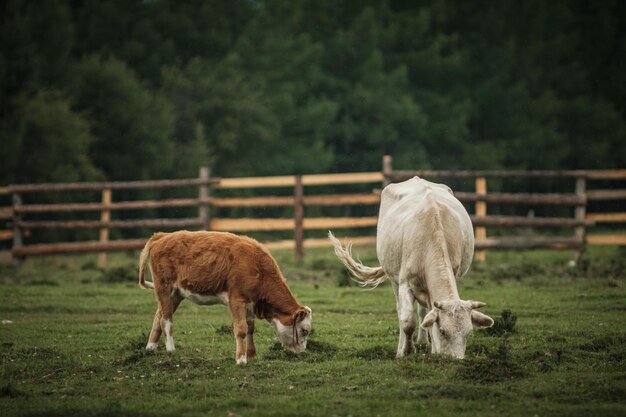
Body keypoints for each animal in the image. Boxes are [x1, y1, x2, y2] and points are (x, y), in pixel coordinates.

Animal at [138, 229, 310, 362]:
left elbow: (250, 329)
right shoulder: (237, 300)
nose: (302, 352)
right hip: (164, 289)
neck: (258, 267)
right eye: (304, 331)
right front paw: (241, 359)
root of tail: (161, 236)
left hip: (176, 294)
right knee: (166, 320)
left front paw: (252, 356)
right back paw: (170, 349)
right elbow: (241, 329)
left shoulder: (250, 304)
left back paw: (150, 348)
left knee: (158, 316)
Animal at [326, 176, 492, 358]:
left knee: (423, 311)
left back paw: (423, 341)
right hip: (394, 279)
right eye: (443, 331)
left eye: (469, 333)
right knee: (401, 310)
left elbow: (426, 316)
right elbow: (407, 321)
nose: (457, 360)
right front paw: (406, 351)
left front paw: (431, 349)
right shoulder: (405, 283)